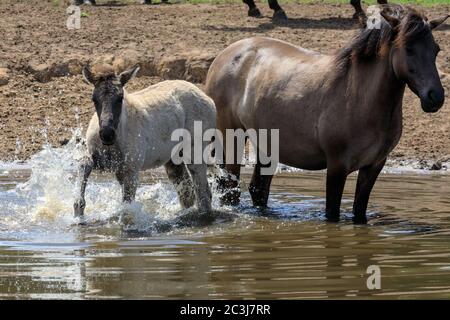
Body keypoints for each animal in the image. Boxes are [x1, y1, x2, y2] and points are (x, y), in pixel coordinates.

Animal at [206, 5, 448, 225]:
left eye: (436, 49)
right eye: (408, 48)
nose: (435, 97)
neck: (360, 98)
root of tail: (225, 56)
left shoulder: (374, 166)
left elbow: (359, 213)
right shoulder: (337, 168)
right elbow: (332, 213)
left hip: (268, 145)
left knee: (258, 190)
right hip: (231, 140)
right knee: (231, 189)